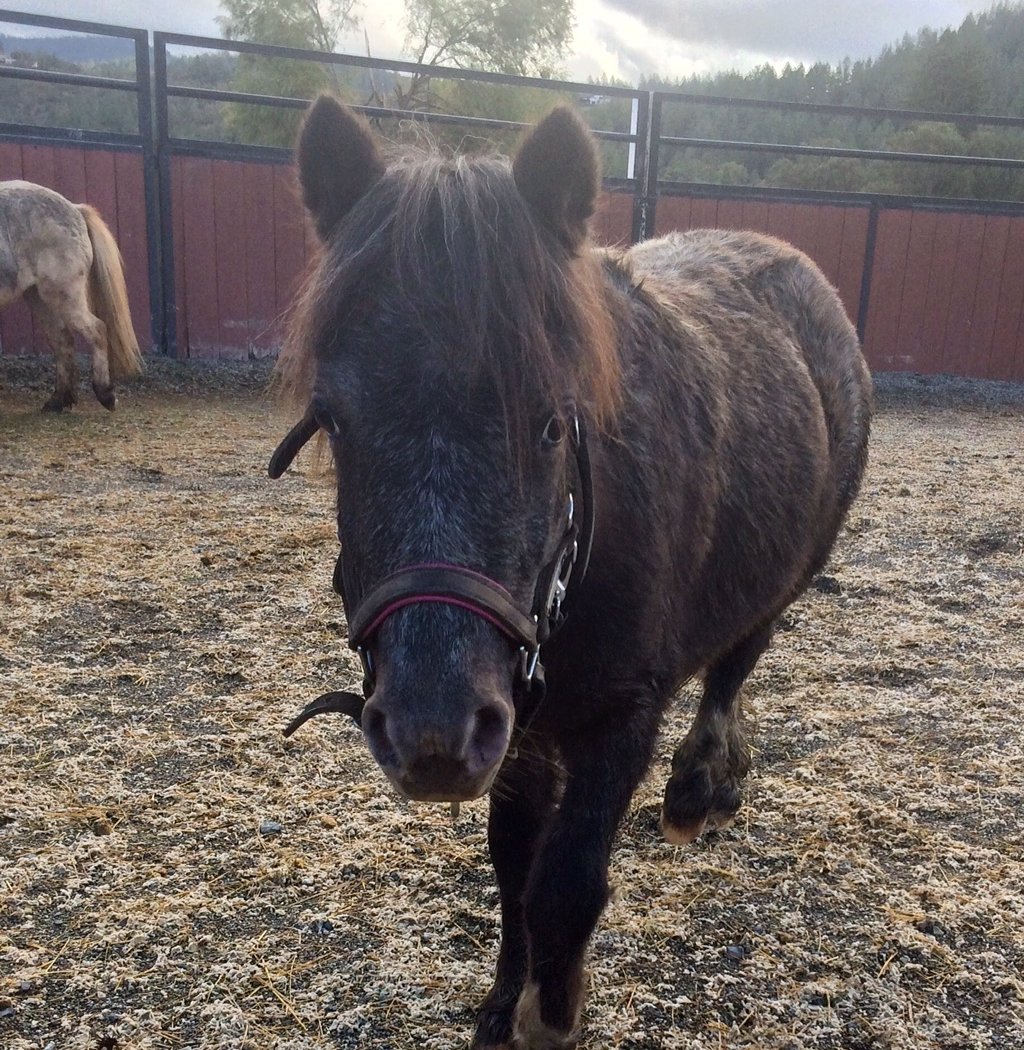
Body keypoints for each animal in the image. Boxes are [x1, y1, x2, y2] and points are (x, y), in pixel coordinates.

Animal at [0, 180, 142, 411]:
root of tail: (75, 209)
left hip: (64, 296)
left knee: (97, 330)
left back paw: (105, 394)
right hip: (38, 297)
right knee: (62, 339)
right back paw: (59, 400)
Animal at [269, 96, 871, 1049]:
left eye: (554, 422)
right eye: (331, 419)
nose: (429, 735)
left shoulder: (621, 716)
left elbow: (568, 883)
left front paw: (549, 1013)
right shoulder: (515, 727)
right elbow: (514, 870)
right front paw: (502, 999)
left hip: (790, 573)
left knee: (734, 667)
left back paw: (703, 788)